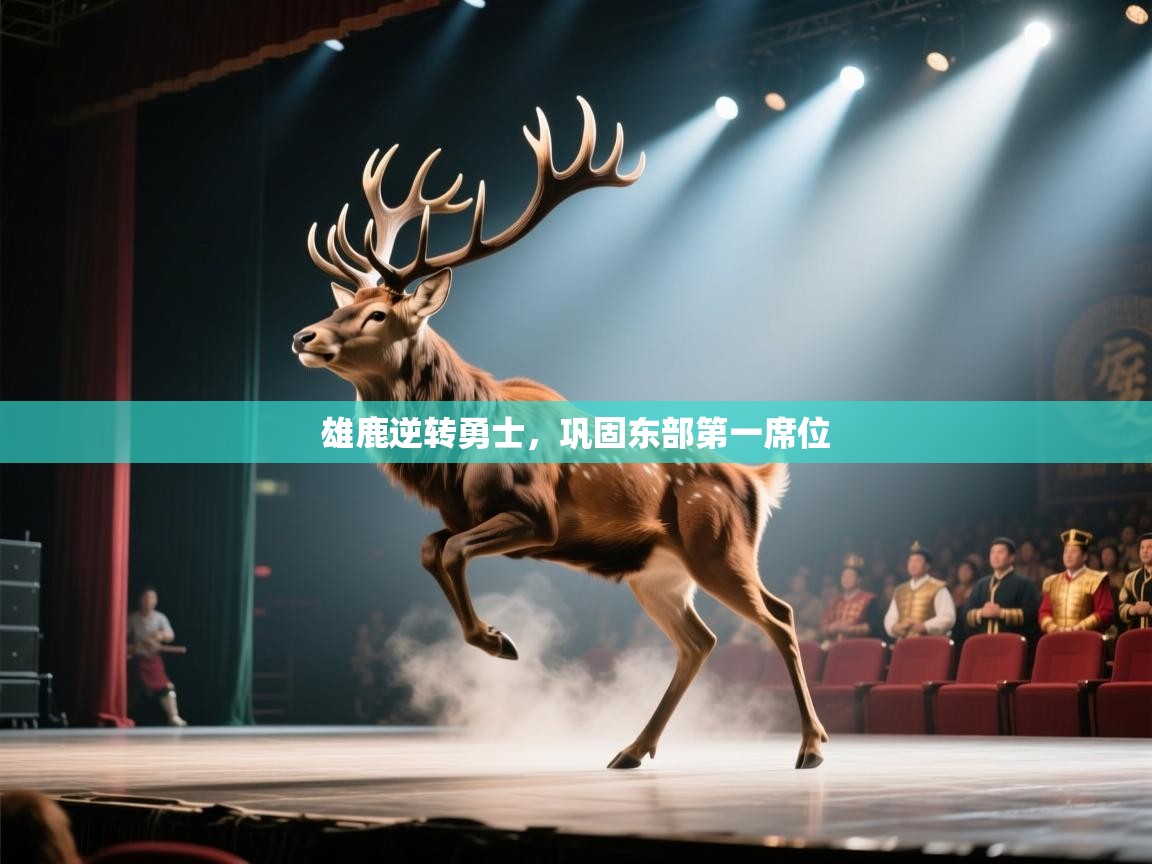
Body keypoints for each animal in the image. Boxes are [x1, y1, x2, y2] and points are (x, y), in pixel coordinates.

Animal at [292, 97, 828, 770]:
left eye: (378, 313)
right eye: (343, 302)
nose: (304, 335)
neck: (450, 464)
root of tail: (759, 482)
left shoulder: (537, 515)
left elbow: (452, 550)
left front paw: (501, 641)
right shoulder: (463, 516)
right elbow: (430, 548)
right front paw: (496, 638)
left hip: (720, 546)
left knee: (779, 617)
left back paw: (811, 746)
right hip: (657, 571)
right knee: (699, 640)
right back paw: (632, 749)